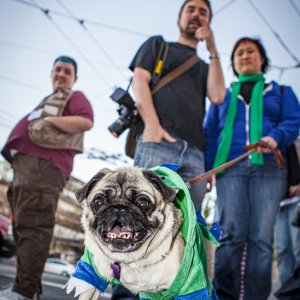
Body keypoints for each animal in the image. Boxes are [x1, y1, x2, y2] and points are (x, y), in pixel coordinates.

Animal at [65, 165, 218, 298]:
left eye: (143, 203)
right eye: (98, 202)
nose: (119, 208)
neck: (129, 260)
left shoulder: (187, 286)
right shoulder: (91, 277)